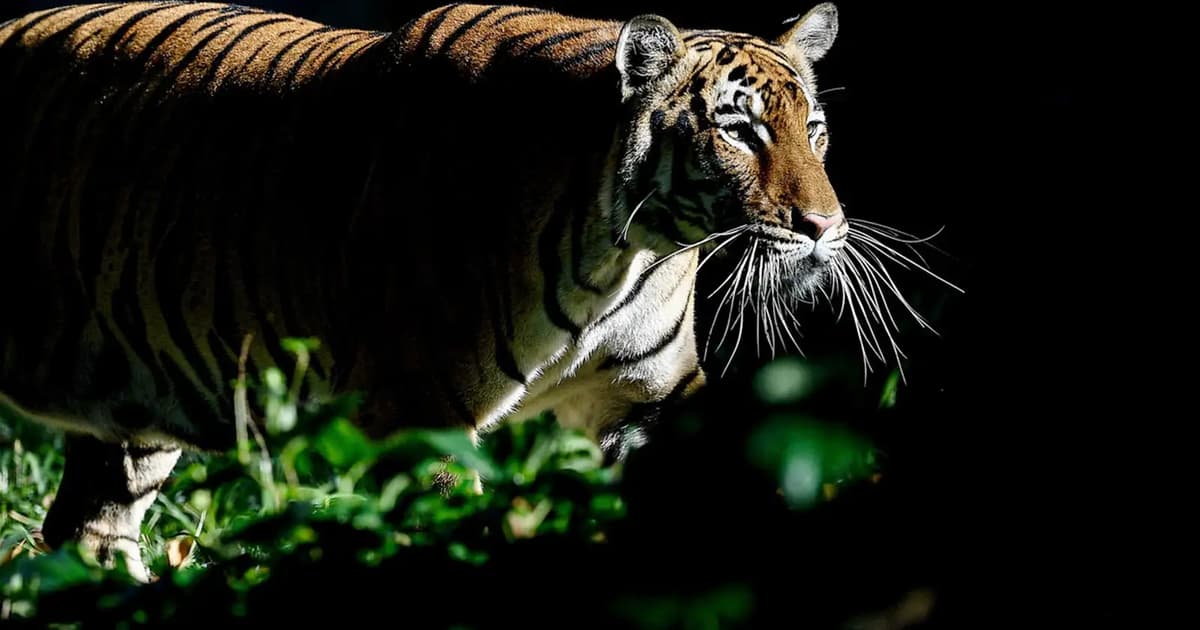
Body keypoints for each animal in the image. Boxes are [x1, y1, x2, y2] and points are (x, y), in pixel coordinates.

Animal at [0, 2, 845, 581]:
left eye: (815, 131)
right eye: (738, 132)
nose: (825, 226)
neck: (623, 253)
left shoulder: (647, 398)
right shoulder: (419, 414)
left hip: (130, 421)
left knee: (85, 538)